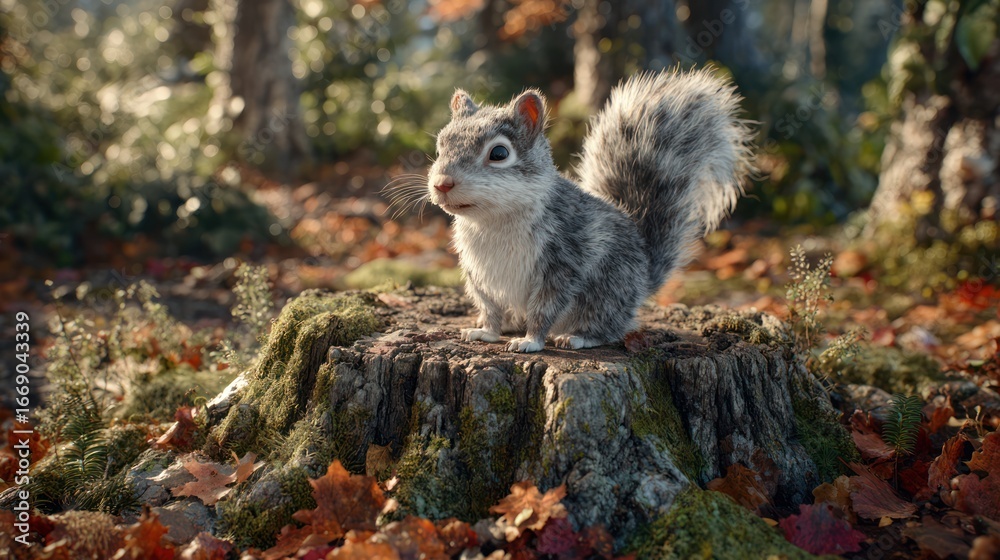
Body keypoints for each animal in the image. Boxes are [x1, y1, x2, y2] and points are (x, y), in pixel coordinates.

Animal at [424, 68, 754, 353]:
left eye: (500, 153)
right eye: (440, 146)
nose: (442, 183)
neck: (493, 220)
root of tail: (643, 275)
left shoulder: (564, 258)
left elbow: (544, 308)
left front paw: (531, 341)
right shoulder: (478, 275)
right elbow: (490, 308)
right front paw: (486, 332)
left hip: (607, 291)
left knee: (610, 328)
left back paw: (578, 337)